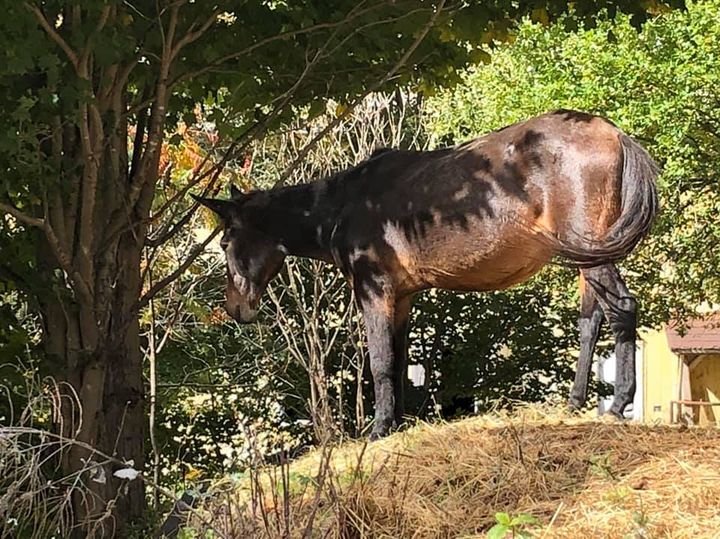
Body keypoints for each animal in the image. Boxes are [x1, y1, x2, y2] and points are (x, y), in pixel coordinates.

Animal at [191, 108, 660, 438]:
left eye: (225, 242)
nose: (235, 308)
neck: (342, 205)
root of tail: (613, 134)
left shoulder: (374, 289)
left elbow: (380, 360)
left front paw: (379, 429)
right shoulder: (402, 297)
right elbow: (399, 361)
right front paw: (396, 423)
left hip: (592, 252)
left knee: (621, 309)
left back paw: (618, 403)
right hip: (586, 257)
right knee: (590, 321)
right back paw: (576, 402)